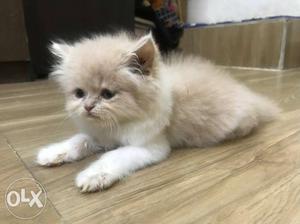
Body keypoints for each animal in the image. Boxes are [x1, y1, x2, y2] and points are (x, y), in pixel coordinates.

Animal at [37, 32, 278, 192]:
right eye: (79, 93)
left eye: (107, 94)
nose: (87, 107)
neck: (119, 123)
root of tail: (248, 94)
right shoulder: (99, 136)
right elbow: (78, 141)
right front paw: (52, 153)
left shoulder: (149, 146)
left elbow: (113, 156)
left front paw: (93, 175)